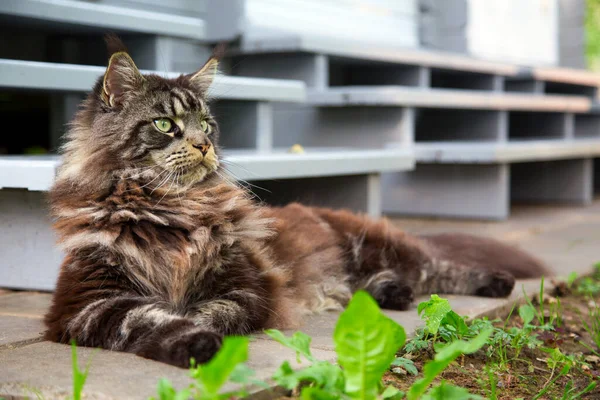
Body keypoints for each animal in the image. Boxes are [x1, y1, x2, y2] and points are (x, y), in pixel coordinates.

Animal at [44, 39, 552, 368]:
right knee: (383, 282)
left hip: (380, 247)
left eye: (206, 125)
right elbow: (150, 320)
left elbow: (214, 312)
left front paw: (201, 329)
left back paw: (495, 282)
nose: (205, 146)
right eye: (165, 124)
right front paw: (191, 342)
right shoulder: (91, 302)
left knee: (440, 268)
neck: (174, 211)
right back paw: (392, 292)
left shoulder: (247, 288)